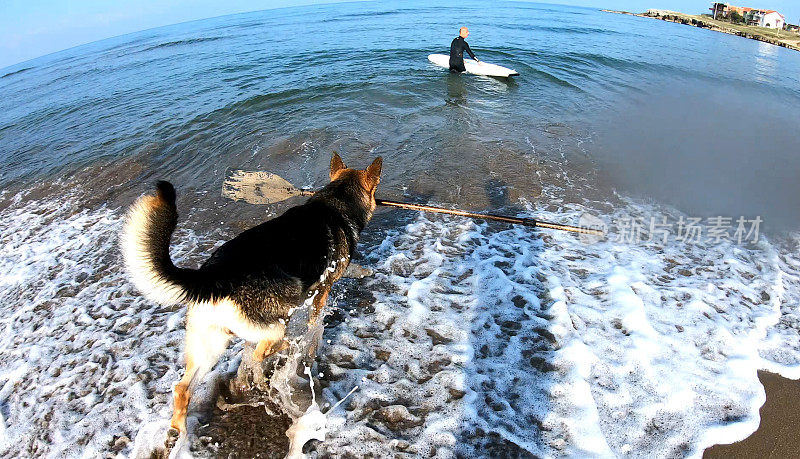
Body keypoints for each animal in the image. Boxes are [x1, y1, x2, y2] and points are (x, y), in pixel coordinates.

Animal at [121, 154, 382, 434]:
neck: (335, 201)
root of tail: (211, 276)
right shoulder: (323, 289)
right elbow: (317, 316)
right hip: (275, 321)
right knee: (264, 349)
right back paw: (294, 344)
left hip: (209, 346)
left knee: (182, 388)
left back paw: (178, 433)